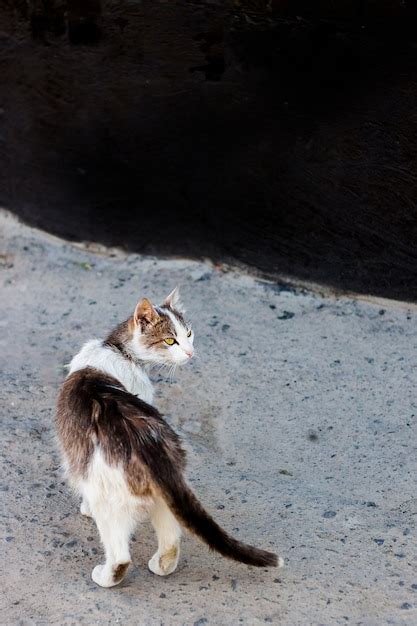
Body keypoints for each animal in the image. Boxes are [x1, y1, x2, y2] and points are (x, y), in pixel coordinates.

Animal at [55, 286, 282, 584]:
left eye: (188, 334)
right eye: (170, 340)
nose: (191, 352)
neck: (119, 352)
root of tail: (149, 444)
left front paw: (85, 508)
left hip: (106, 492)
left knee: (120, 556)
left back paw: (106, 576)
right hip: (165, 492)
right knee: (172, 538)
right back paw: (162, 564)